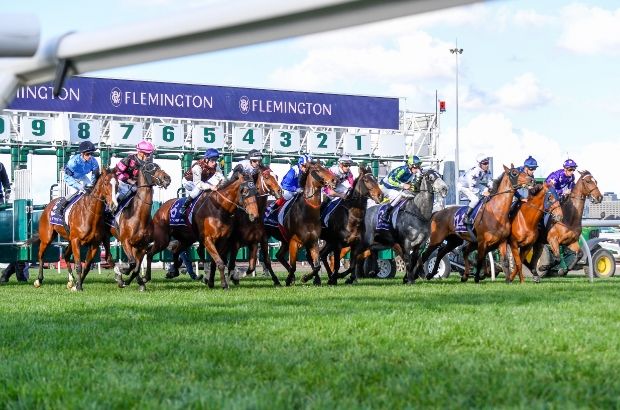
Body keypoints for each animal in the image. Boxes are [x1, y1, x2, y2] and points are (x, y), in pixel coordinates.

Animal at [110, 161, 171, 292]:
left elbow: (136, 267)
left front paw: (133, 281)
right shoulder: (125, 242)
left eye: (158, 167)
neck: (138, 215)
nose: (167, 178)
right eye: (149, 167)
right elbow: (132, 263)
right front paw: (123, 271)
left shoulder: (142, 245)